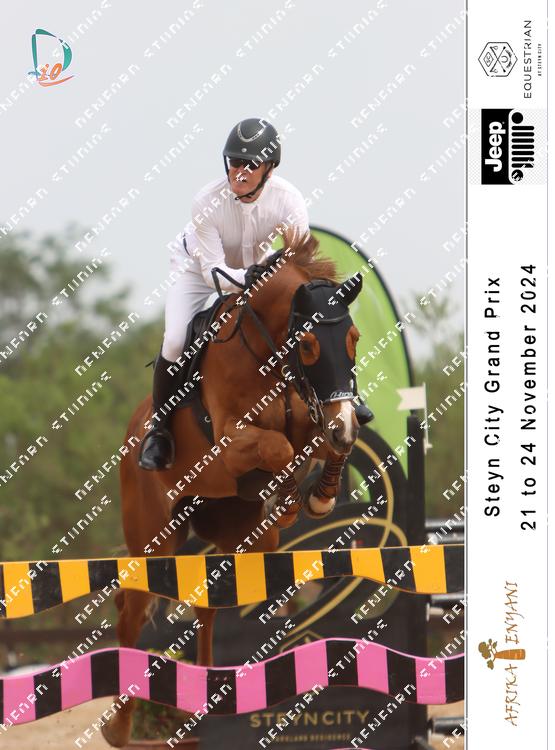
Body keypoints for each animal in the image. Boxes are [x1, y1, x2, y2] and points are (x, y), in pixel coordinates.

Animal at [101, 231, 364, 747]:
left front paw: (319, 492)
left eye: (353, 339)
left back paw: (204, 710)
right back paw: (119, 728)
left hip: (237, 538)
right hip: (153, 538)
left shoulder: (314, 417)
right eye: (307, 345)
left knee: (206, 606)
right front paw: (286, 496)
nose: (347, 417)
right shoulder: (229, 443)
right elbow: (278, 447)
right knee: (130, 614)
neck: (267, 351)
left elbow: (318, 440)